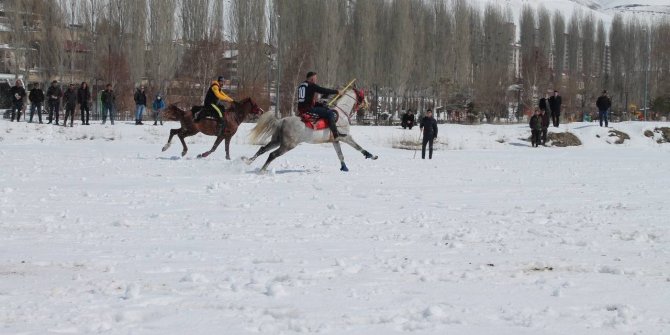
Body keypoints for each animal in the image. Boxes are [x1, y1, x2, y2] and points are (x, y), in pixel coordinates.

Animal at [247, 88, 380, 172]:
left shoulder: (334, 140)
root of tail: (282, 121)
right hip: (288, 145)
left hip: (277, 140)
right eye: (362, 96)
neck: (342, 113)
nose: (368, 105)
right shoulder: (346, 137)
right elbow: (358, 147)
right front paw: (371, 156)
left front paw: (344, 168)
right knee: (272, 154)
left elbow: (340, 155)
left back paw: (248, 161)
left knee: (262, 149)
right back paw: (262, 170)